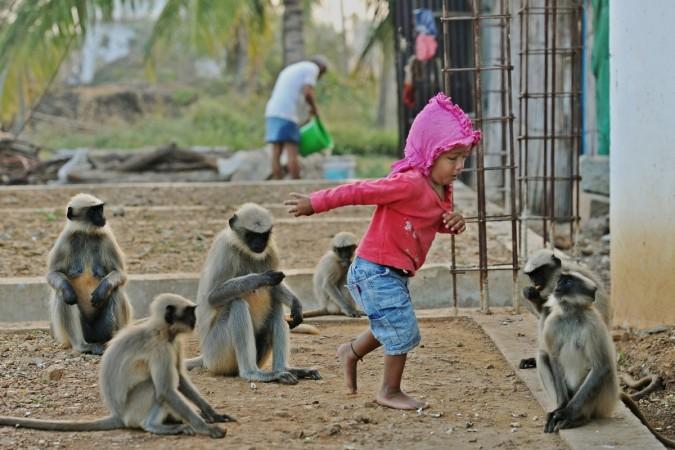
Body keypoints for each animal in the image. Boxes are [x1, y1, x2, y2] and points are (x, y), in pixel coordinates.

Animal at [0, 293, 232, 438]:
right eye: (190, 312)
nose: (195, 320)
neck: (161, 331)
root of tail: (119, 414)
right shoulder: (159, 348)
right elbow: (166, 389)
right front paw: (207, 429)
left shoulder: (172, 344)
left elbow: (180, 380)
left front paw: (212, 415)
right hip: (133, 409)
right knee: (153, 388)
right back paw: (155, 426)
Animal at [47, 193, 133, 355]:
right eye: (93, 211)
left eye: (100, 209)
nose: (102, 216)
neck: (86, 233)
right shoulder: (65, 239)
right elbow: (53, 274)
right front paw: (68, 290)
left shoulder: (107, 237)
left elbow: (120, 274)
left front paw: (103, 289)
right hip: (81, 334)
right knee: (63, 295)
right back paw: (82, 346)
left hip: (101, 330)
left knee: (116, 291)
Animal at [186, 203, 321, 385]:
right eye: (251, 235)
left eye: (263, 235)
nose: (259, 243)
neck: (245, 251)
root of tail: (205, 357)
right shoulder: (225, 249)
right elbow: (212, 297)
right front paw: (260, 278)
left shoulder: (271, 249)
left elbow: (274, 288)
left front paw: (296, 303)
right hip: (216, 353)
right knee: (236, 303)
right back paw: (252, 373)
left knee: (275, 304)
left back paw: (283, 369)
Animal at [537, 272, 675, 448]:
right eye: (560, 280)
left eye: (567, 282)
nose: (557, 285)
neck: (571, 314)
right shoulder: (552, 323)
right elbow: (554, 359)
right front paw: (559, 408)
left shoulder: (593, 323)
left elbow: (601, 366)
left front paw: (566, 413)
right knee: (543, 356)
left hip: (603, 401)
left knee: (604, 369)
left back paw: (579, 417)